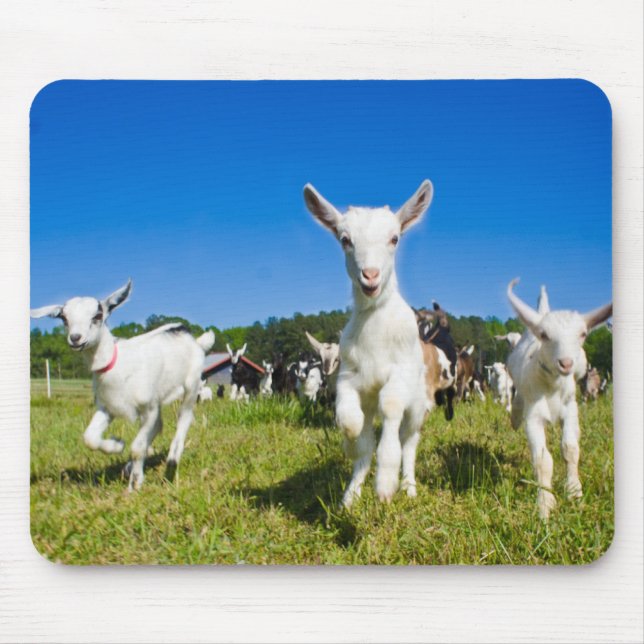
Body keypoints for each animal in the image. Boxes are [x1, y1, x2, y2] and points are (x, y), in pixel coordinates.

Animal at [30, 280, 215, 491]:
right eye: (64, 318)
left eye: (97, 315)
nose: (76, 338)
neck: (117, 363)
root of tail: (192, 337)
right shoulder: (107, 407)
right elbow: (89, 438)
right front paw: (117, 445)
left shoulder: (148, 408)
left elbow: (136, 447)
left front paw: (135, 484)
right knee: (158, 425)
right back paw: (132, 464)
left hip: (191, 385)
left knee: (184, 419)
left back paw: (170, 467)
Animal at [304, 179, 432, 507]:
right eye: (345, 239)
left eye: (395, 238)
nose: (370, 276)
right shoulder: (349, 377)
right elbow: (351, 423)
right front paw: (352, 448)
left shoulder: (399, 375)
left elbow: (391, 410)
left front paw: (385, 483)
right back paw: (350, 496)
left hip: (418, 401)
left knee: (409, 440)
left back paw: (408, 486)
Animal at [506, 278, 612, 519]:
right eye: (544, 334)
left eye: (583, 334)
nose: (566, 363)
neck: (552, 386)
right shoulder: (534, 416)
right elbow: (542, 460)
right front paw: (545, 505)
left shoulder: (570, 410)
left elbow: (570, 448)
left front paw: (574, 492)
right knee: (518, 401)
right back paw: (514, 416)